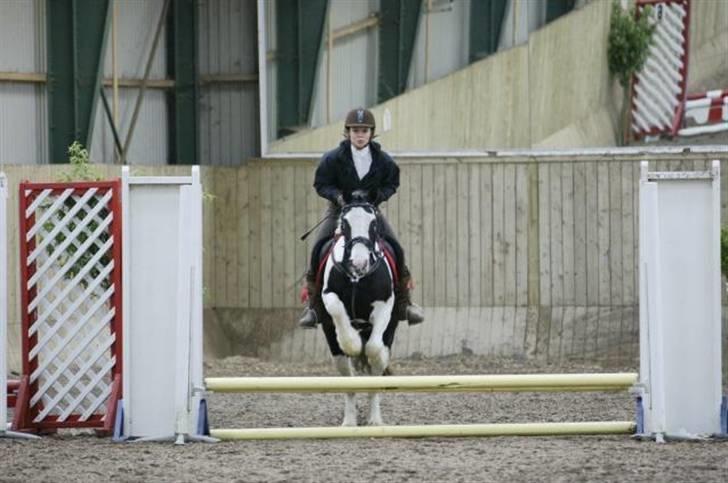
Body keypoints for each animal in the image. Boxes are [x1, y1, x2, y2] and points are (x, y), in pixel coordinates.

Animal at [318, 200, 398, 428]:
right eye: (344, 224)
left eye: (374, 224)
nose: (359, 263)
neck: (357, 278)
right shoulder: (328, 295)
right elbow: (337, 309)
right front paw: (352, 343)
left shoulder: (385, 304)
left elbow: (373, 349)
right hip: (335, 350)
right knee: (349, 381)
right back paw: (349, 421)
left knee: (374, 371)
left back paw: (375, 420)